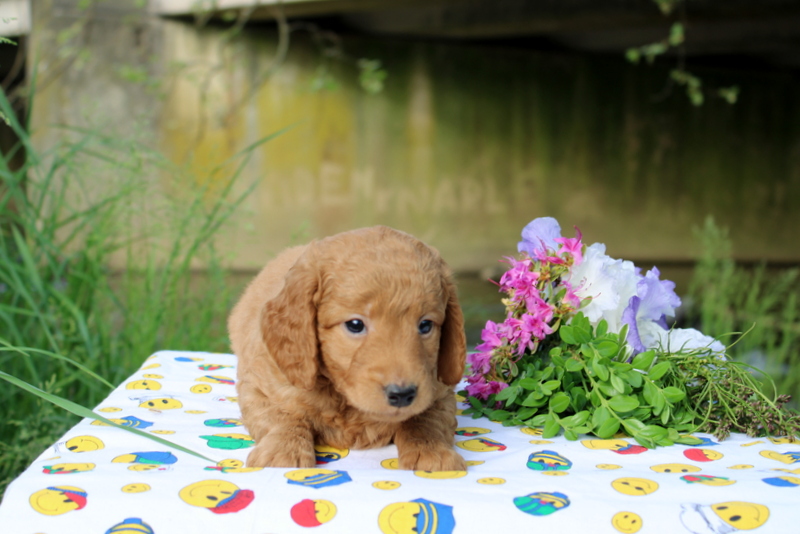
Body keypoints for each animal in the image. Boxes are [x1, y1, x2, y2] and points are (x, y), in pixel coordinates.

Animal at [227, 228, 468, 472]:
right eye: (355, 325)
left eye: (425, 325)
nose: (402, 395)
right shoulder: (259, 386)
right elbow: (282, 416)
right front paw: (284, 452)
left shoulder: (439, 391)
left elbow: (425, 420)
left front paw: (432, 452)